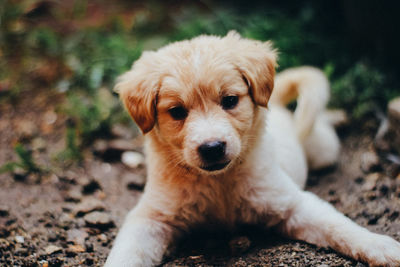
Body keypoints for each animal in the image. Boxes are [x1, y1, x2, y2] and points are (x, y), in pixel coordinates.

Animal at [105, 31, 400, 267]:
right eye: (177, 111)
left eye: (230, 100)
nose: (212, 148)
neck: (219, 183)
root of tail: (277, 100)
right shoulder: (151, 217)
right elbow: (127, 252)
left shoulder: (292, 203)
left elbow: (338, 226)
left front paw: (381, 247)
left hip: (323, 149)